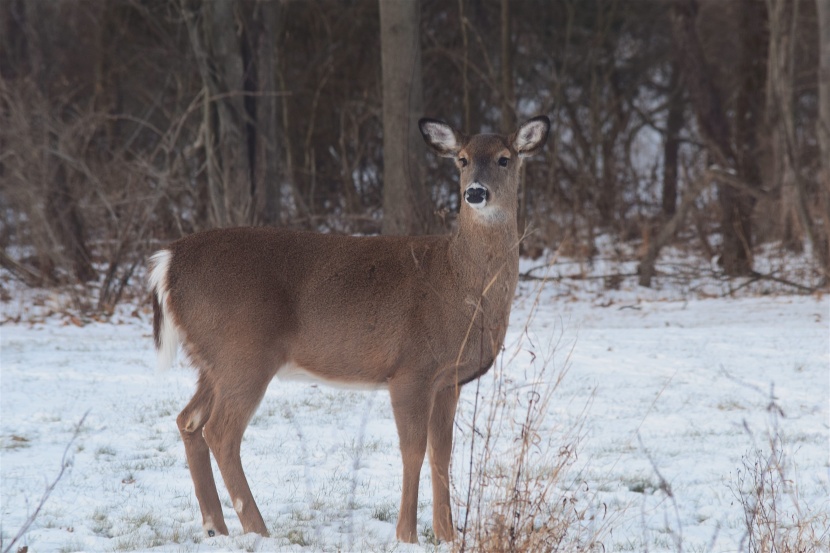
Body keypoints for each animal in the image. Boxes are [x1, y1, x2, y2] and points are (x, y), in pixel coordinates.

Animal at [150, 114, 552, 540]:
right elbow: (413, 451)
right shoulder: (411, 370)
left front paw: (447, 535)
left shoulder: (448, 379)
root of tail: (167, 263)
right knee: (220, 432)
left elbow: (441, 453)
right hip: (243, 353)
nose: (475, 192)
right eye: (462, 159)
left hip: (212, 360)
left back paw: (217, 527)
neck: (458, 282)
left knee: (188, 420)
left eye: (505, 158)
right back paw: (258, 530)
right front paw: (406, 535)